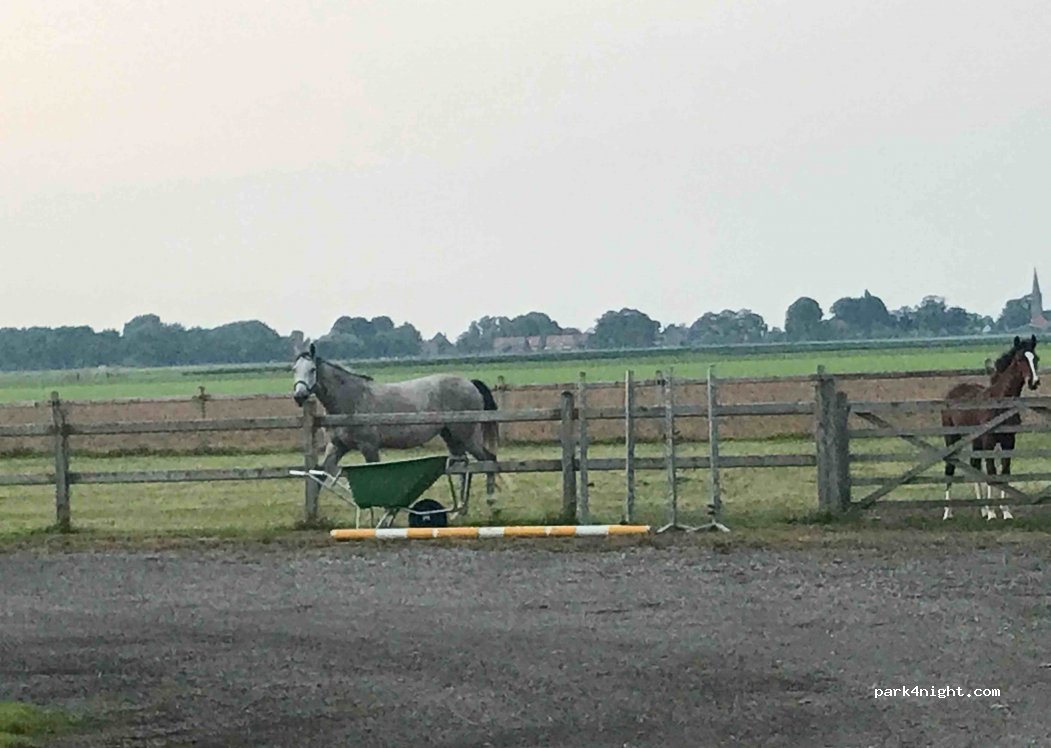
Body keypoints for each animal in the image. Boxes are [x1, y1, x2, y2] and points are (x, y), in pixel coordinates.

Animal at [291, 342, 499, 480]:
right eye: (294, 369)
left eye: (312, 369)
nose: (299, 395)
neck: (351, 400)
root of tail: (470, 383)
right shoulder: (337, 447)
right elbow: (321, 476)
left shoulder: (369, 447)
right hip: (451, 437)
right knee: (463, 467)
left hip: (467, 436)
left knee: (488, 460)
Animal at [941, 335, 1039, 521]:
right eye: (1020, 359)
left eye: (1035, 358)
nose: (1034, 382)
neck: (1000, 403)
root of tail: (953, 392)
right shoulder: (989, 440)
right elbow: (992, 471)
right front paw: (993, 513)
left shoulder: (1009, 441)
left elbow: (1005, 471)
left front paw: (1005, 511)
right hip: (952, 438)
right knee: (950, 468)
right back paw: (947, 512)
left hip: (975, 440)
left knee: (975, 466)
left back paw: (983, 509)